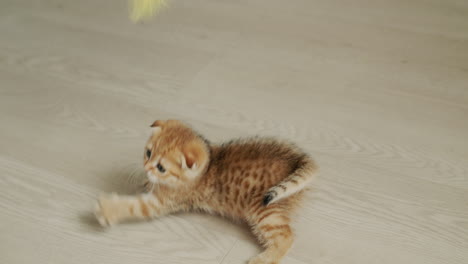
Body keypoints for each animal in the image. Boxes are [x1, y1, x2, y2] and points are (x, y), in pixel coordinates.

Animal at [94, 120, 318, 264]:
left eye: (161, 168)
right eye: (148, 153)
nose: (146, 167)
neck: (208, 165)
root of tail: (297, 160)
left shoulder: (161, 203)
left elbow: (135, 206)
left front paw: (107, 210)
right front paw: (147, 182)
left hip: (265, 211)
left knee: (286, 237)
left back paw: (264, 259)